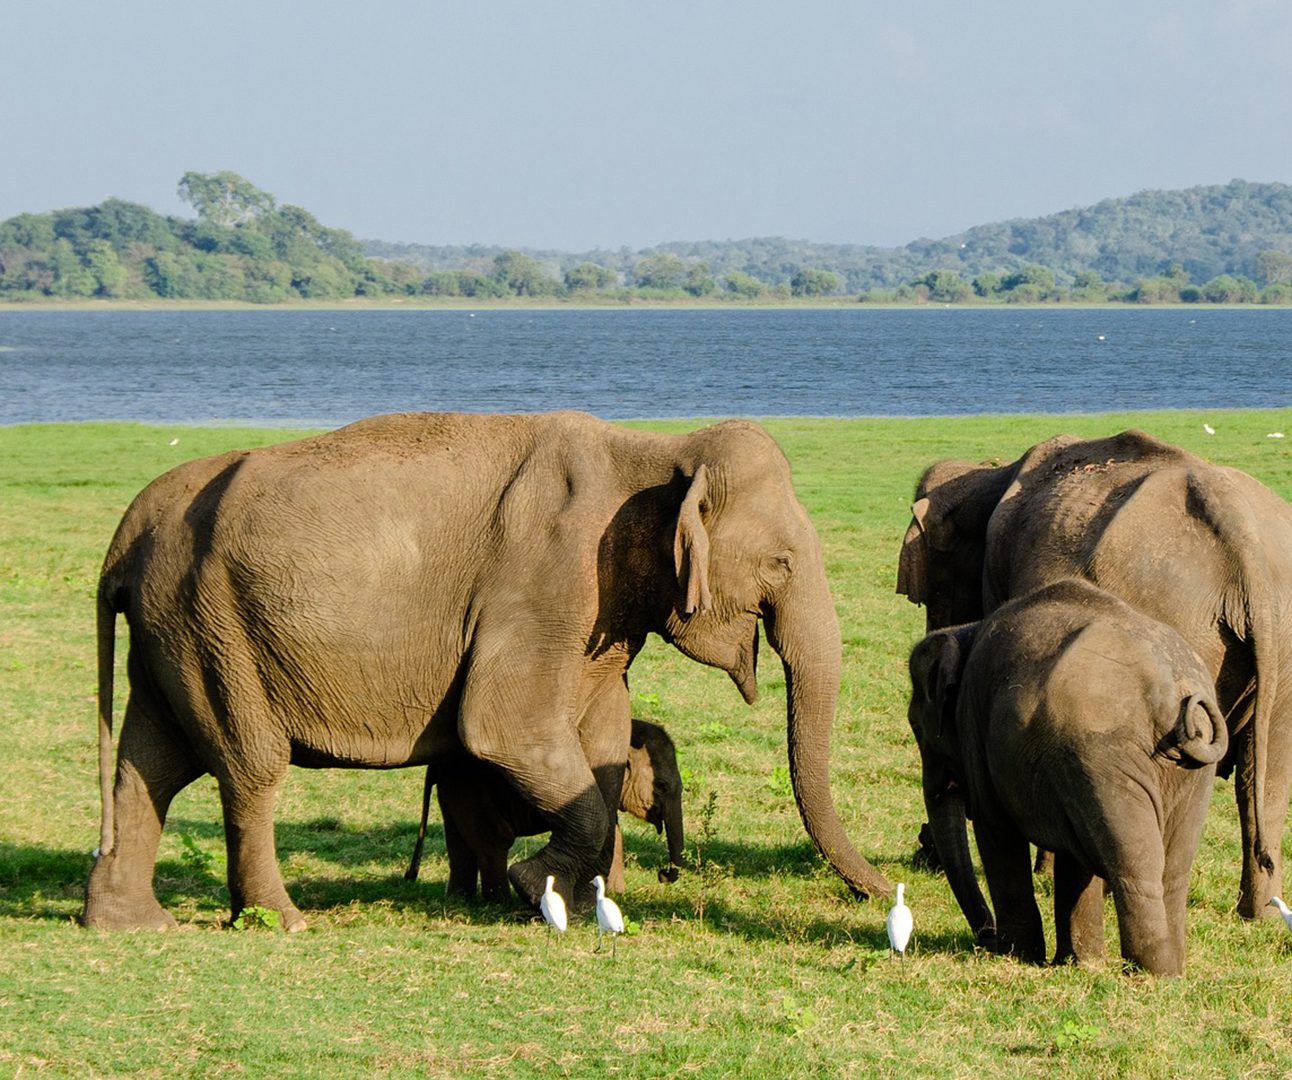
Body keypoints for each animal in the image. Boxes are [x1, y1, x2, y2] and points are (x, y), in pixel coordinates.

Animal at [403, 718, 687, 904]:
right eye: (662, 785)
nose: (662, 874)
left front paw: (615, 893)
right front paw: (613, 893)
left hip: (455, 790)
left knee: (460, 843)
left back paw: (461, 901)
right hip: (472, 789)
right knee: (494, 841)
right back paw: (500, 904)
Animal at [899, 428, 1292, 919]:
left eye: (931, 595)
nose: (923, 851)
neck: (991, 471)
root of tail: (1244, 537)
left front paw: (1047, 873)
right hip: (1277, 644)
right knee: (1265, 777)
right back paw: (1259, 912)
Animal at [909, 581, 1229, 976]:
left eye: (917, 728)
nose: (986, 939)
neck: (966, 630)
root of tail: (1172, 691)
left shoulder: (976, 731)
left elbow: (996, 831)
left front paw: (1019, 956)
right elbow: (1075, 859)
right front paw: (1081, 963)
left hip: (1105, 756)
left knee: (1134, 862)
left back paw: (1146, 971)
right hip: (1185, 775)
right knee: (1173, 870)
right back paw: (1170, 971)